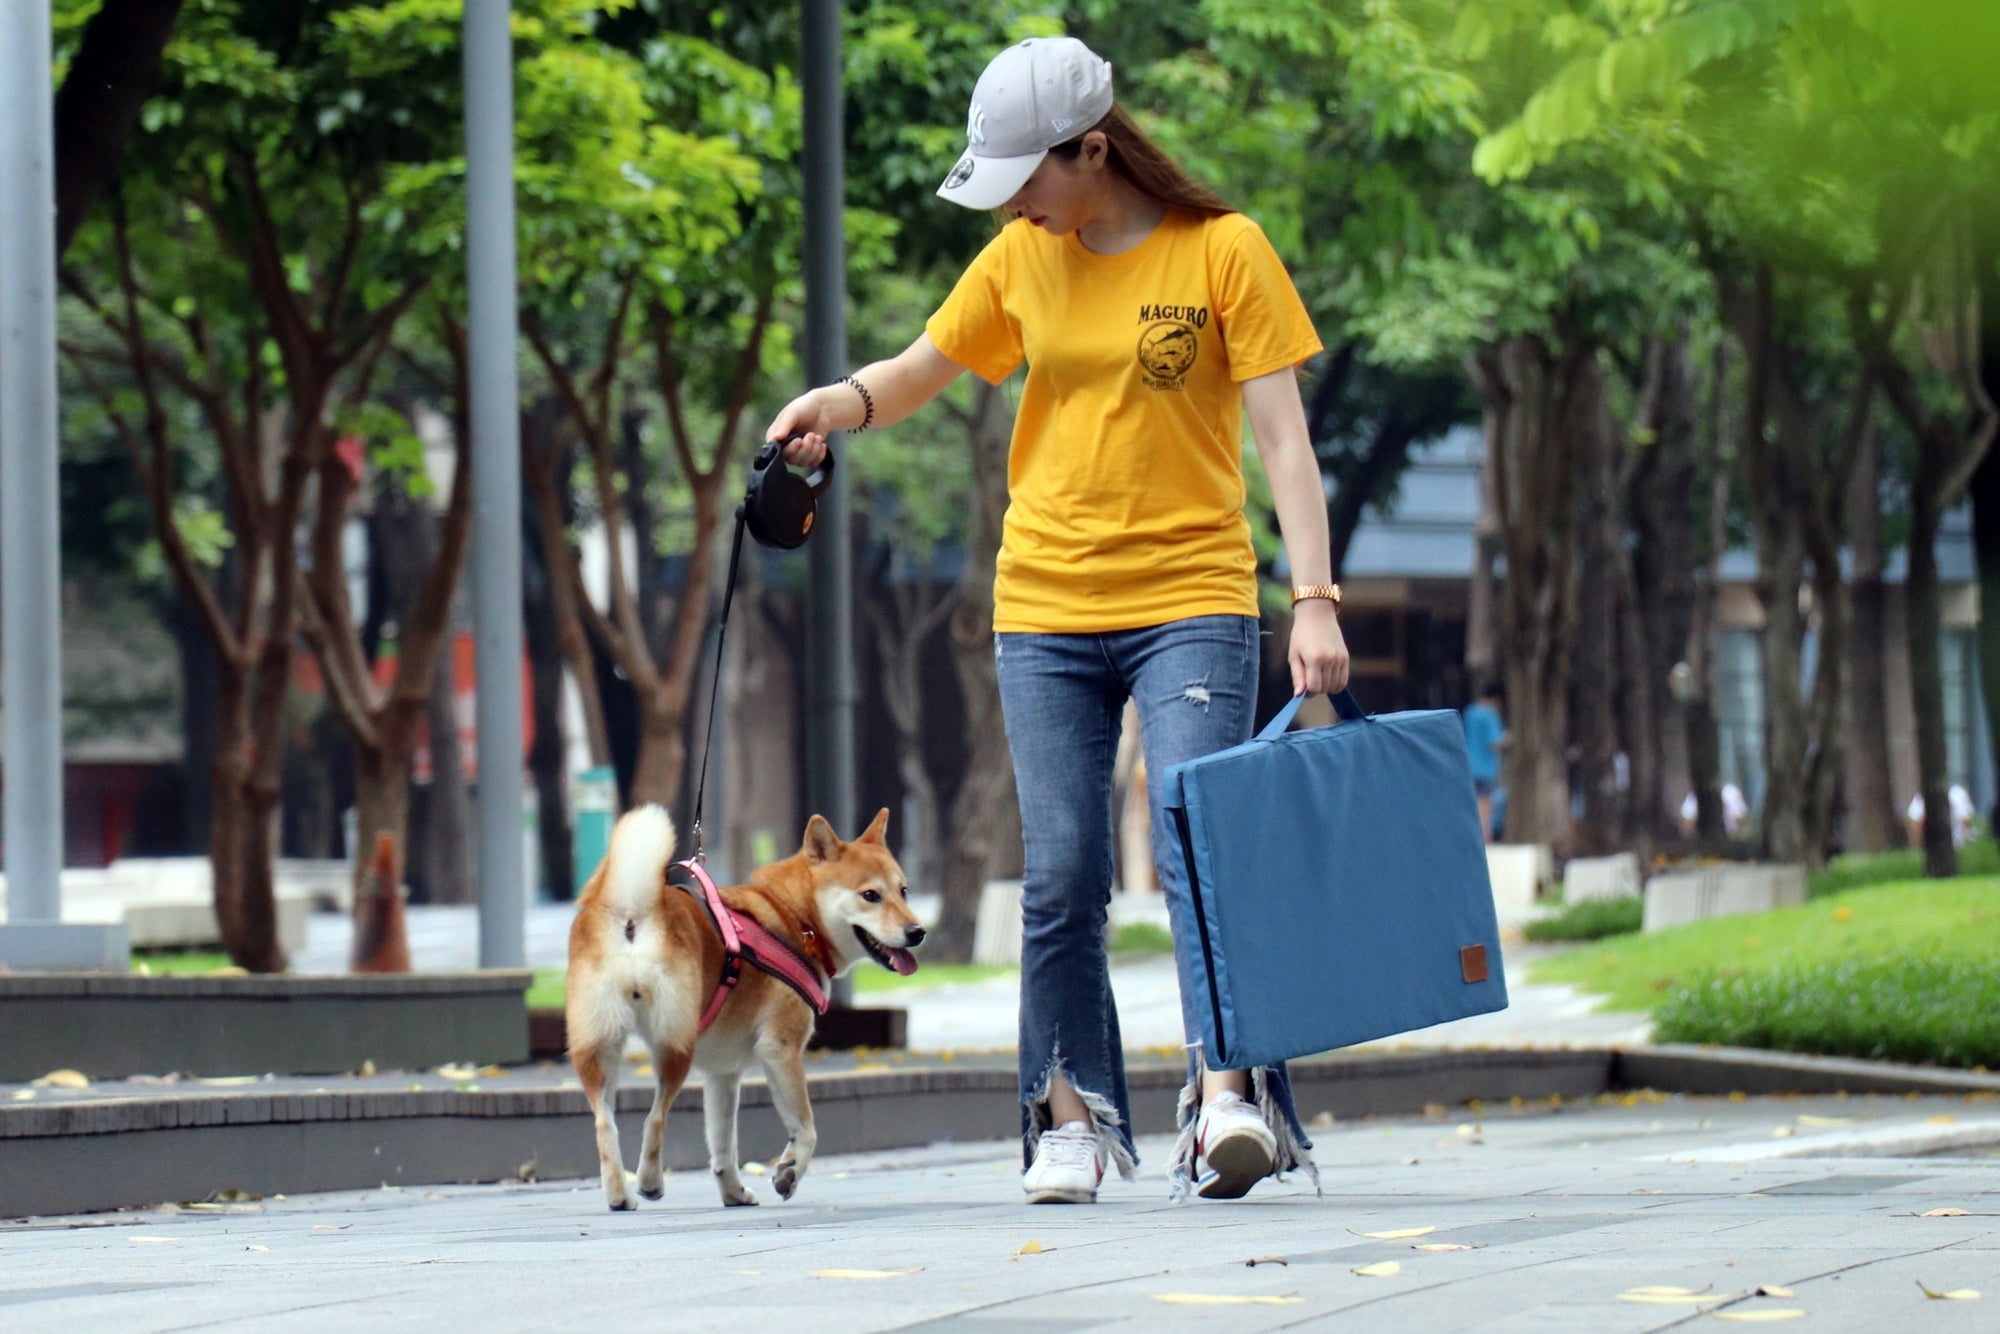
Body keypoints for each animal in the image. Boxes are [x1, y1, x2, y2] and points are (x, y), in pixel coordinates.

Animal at [568, 804, 924, 1208]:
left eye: (903, 891)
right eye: (870, 895)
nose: (918, 932)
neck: (794, 919)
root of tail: (632, 912)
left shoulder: (723, 1073)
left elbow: (723, 1145)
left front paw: (733, 1192)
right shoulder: (780, 1050)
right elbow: (806, 1129)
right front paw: (788, 1172)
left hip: (599, 1048)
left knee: (605, 1123)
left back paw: (619, 1195)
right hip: (675, 1047)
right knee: (653, 1119)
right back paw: (649, 1183)